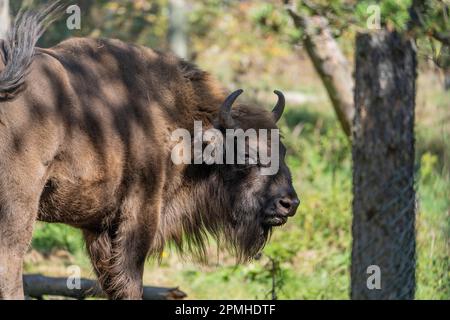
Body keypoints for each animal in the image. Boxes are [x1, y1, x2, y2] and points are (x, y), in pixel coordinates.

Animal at [0, 1, 298, 298]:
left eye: (282, 150)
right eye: (246, 154)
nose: (289, 203)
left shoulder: (98, 227)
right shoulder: (140, 212)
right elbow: (130, 278)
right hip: (20, 204)